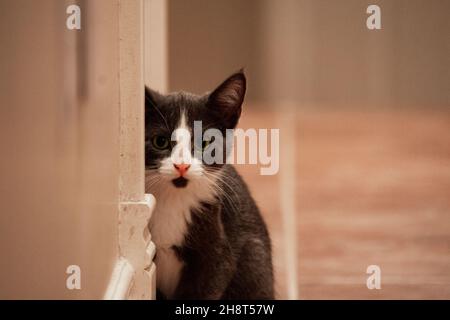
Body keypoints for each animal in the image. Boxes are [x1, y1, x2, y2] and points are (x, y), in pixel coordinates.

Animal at [144, 71, 274, 298]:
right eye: (160, 141)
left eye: (205, 143)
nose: (182, 166)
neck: (173, 200)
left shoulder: (217, 254)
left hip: (254, 258)